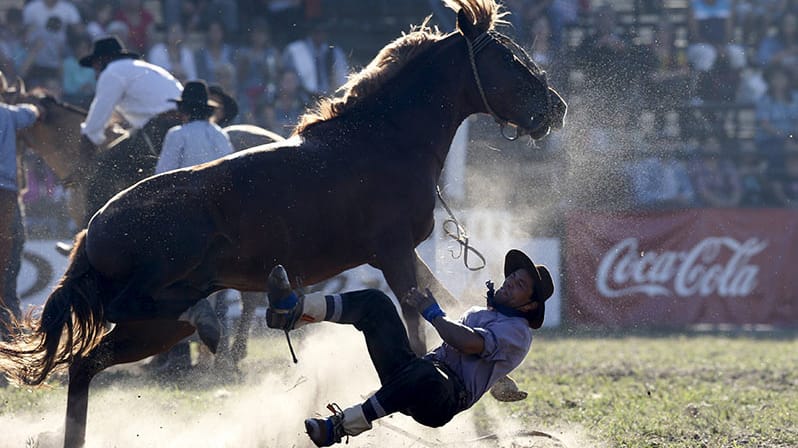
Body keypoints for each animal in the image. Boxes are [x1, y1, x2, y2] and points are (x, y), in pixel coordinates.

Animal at [0, 1, 564, 446]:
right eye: (509, 59)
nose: (556, 108)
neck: (383, 141)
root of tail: (93, 228)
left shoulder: (399, 252)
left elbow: (442, 302)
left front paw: (498, 392)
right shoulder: (392, 251)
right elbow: (422, 317)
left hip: (152, 329)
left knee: (86, 364)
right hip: (161, 283)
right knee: (137, 311)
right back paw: (211, 319)